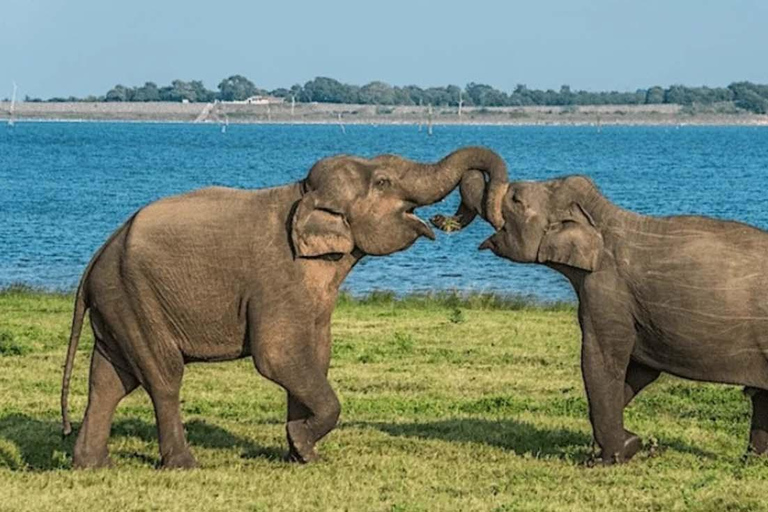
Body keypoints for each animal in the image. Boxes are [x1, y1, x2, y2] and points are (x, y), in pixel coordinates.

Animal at [61, 146, 508, 469]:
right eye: (382, 182)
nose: (445, 219)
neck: (301, 193)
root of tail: (99, 254)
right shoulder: (277, 279)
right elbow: (278, 357)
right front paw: (303, 446)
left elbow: (314, 358)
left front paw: (300, 453)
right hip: (138, 297)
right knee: (163, 378)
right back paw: (184, 465)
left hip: (120, 301)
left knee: (109, 379)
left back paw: (92, 465)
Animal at [432, 171, 768, 464]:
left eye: (515, 199)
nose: (438, 220)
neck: (602, 216)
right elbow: (639, 371)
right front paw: (630, 443)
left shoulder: (606, 291)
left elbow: (602, 360)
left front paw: (609, 458)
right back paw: (751, 461)